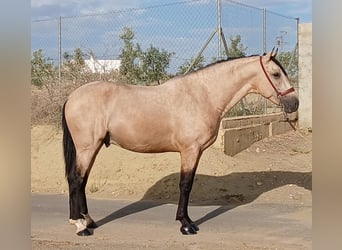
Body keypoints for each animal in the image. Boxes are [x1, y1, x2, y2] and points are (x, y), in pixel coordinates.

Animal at [62, 48, 300, 236]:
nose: (294, 103)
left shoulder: (196, 151)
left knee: (82, 181)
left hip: (93, 147)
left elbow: (188, 184)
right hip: (87, 147)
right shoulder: (189, 150)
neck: (202, 96)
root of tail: (72, 96)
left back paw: (88, 220)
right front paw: (186, 224)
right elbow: (185, 185)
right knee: (76, 179)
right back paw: (80, 226)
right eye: (276, 74)